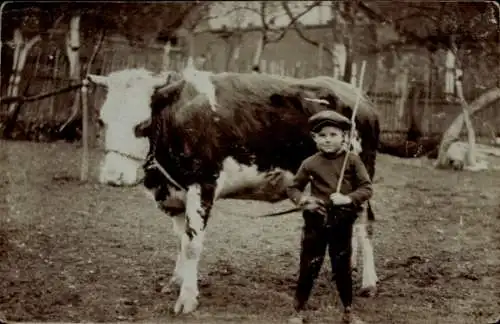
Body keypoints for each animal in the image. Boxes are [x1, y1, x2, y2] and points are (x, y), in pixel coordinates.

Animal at [88, 66, 380, 316]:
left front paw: (187, 299)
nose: (113, 177)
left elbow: (192, 244)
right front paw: (176, 281)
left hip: (362, 172)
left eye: (142, 124)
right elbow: (181, 240)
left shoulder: (203, 186)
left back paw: (369, 282)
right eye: (101, 121)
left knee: (365, 225)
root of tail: (358, 95)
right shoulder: (174, 192)